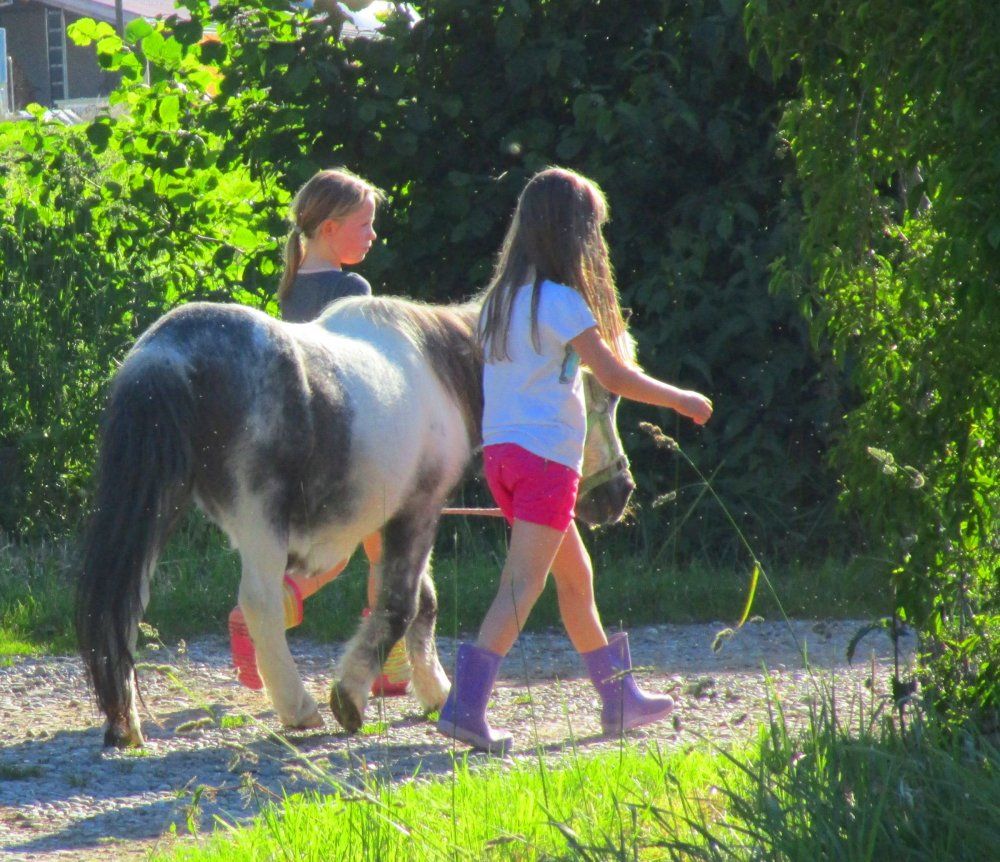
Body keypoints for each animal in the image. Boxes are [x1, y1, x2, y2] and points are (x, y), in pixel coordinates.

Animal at [75, 295, 636, 747]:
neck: (440, 368)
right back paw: (298, 708)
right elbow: (400, 606)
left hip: (157, 512)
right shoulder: (419, 510)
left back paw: (126, 724)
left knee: (124, 609)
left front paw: (435, 691)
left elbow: (421, 604)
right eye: (600, 397)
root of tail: (164, 354)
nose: (619, 493)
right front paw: (350, 697)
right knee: (258, 603)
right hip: (260, 522)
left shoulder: (382, 522)